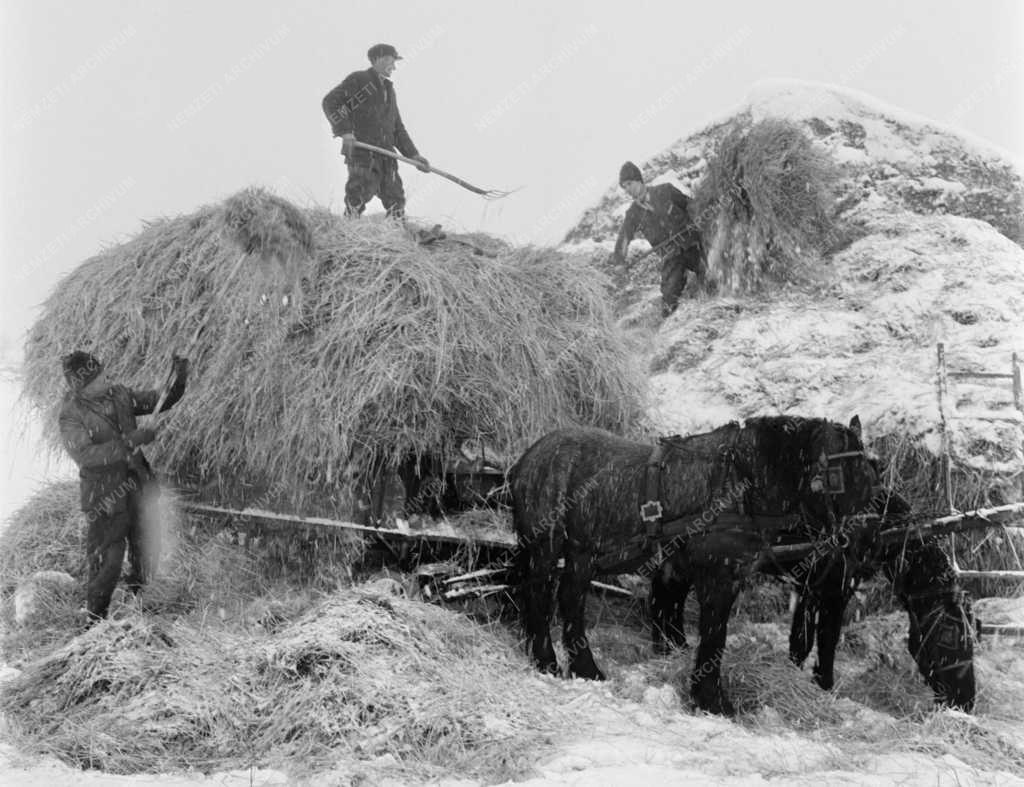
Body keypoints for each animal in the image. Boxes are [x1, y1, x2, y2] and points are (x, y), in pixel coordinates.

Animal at [507, 413, 876, 716]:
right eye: (837, 477)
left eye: (872, 474)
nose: (862, 541)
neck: (740, 483)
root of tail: (528, 457)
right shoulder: (718, 576)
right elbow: (715, 636)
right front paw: (712, 700)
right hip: (546, 545)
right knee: (540, 594)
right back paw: (546, 661)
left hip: (582, 553)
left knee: (570, 599)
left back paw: (585, 669)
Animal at [651, 487, 970, 708]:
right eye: (950, 636)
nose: (966, 701)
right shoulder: (834, 590)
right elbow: (825, 640)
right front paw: (823, 686)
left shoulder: (810, 586)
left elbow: (800, 640)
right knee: (666, 595)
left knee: (667, 595)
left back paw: (671, 646)